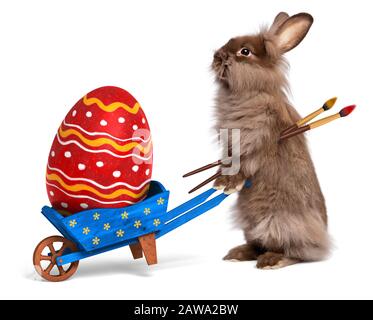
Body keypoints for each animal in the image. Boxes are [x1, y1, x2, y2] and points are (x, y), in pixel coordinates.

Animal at [211, 11, 330, 268]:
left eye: (245, 51)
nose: (216, 56)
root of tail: (322, 241)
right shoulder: (228, 144)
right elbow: (225, 161)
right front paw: (218, 180)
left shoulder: (257, 141)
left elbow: (244, 165)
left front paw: (228, 185)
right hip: (250, 224)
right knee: (258, 244)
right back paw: (237, 254)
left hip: (279, 223)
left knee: (295, 252)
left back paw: (272, 261)